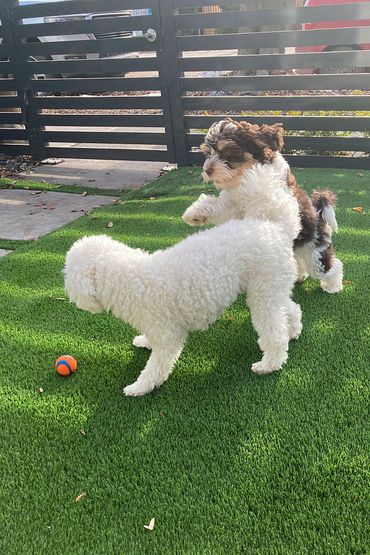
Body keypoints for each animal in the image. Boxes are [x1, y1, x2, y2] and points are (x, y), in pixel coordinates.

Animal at [63, 219, 300, 398]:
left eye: (68, 273)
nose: (71, 297)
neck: (129, 278)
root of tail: (278, 230)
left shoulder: (169, 336)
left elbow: (156, 367)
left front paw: (139, 387)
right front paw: (144, 342)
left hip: (263, 293)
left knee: (275, 332)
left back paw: (269, 364)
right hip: (272, 288)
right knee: (291, 308)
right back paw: (293, 331)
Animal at [184, 118, 342, 296]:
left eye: (228, 154)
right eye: (208, 154)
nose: (207, 170)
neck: (247, 174)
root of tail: (318, 213)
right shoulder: (234, 205)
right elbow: (217, 205)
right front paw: (194, 214)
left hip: (314, 251)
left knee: (330, 266)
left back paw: (333, 286)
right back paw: (300, 276)